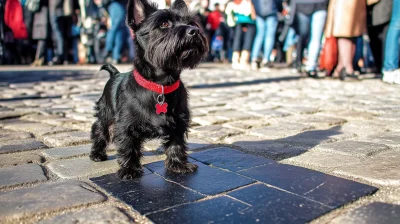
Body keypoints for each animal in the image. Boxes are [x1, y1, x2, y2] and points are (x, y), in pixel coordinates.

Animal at [90, 0, 208, 179]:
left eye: (191, 23)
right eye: (164, 23)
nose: (193, 31)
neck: (161, 85)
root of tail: (115, 73)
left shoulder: (179, 122)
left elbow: (176, 144)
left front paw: (178, 165)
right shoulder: (125, 126)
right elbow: (128, 146)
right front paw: (129, 169)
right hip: (105, 115)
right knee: (99, 132)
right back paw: (97, 154)